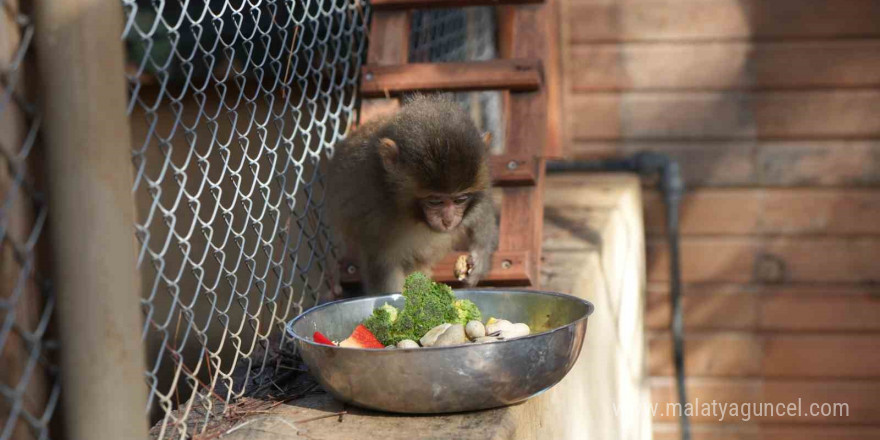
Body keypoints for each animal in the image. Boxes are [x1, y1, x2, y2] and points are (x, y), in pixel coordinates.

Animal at [328, 94, 498, 294]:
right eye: (434, 201)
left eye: (460, 200)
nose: (447, 221)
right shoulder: (374, 213)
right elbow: (382, 265)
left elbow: (482, 208)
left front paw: (480, 256)